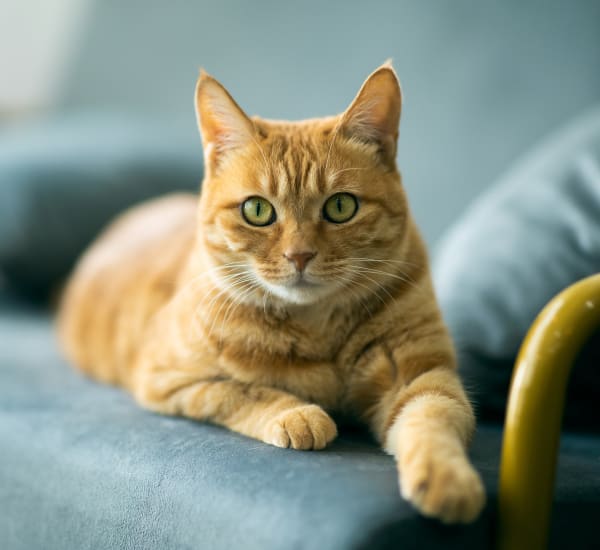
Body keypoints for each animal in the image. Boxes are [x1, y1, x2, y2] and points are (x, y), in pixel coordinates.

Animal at [58, 62, 486, 524]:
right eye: (257, 210)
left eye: (341, 207)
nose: (299, 255)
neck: (316, 328)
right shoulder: (168, 379)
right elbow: (240, 390)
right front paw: (298, 414)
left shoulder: (421, 376)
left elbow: (434, 418)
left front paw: (448, 481)